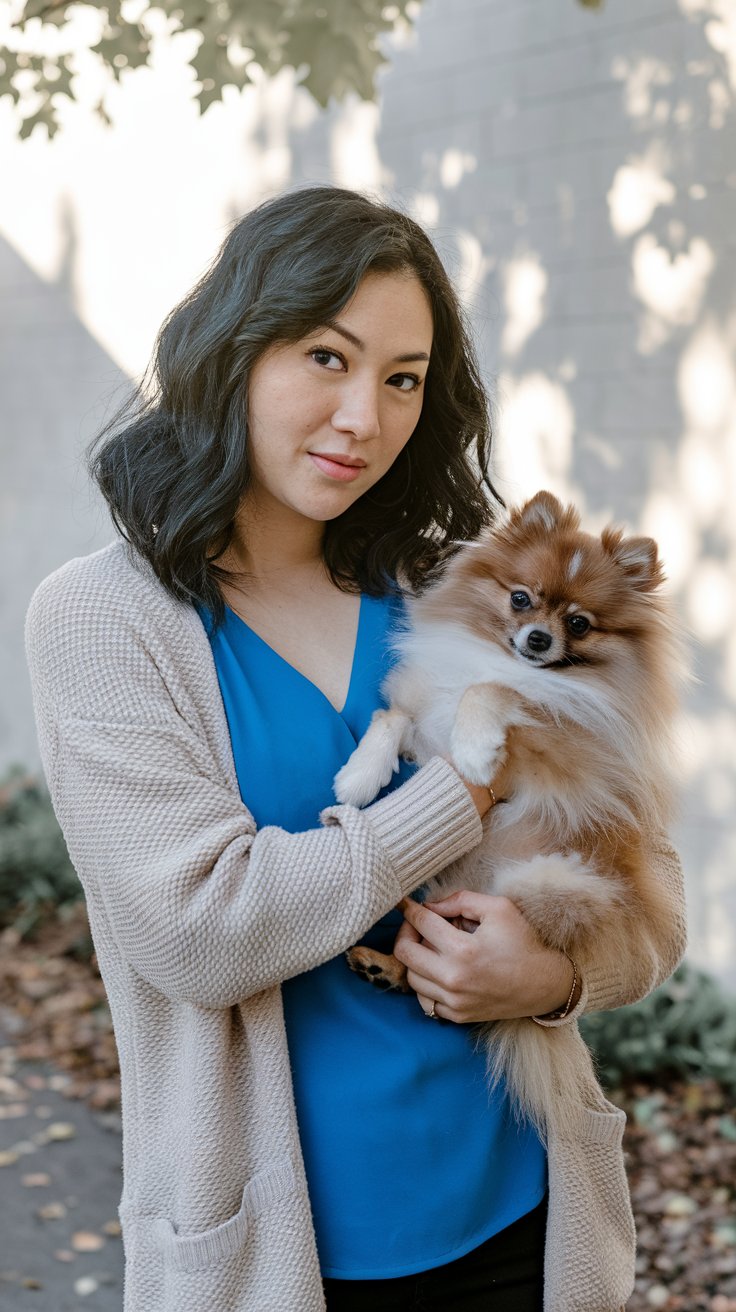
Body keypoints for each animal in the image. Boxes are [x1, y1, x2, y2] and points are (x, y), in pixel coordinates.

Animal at [333, 493, 682, 1149]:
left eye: (580, 623)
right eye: (520, 598)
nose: (539, 639)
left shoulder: (563, 752)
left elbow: (495, 692)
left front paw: (475, 749)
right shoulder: (422, 718)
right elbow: (392, 720)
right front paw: (357, 780)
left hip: (541, 885)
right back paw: (383, 965)